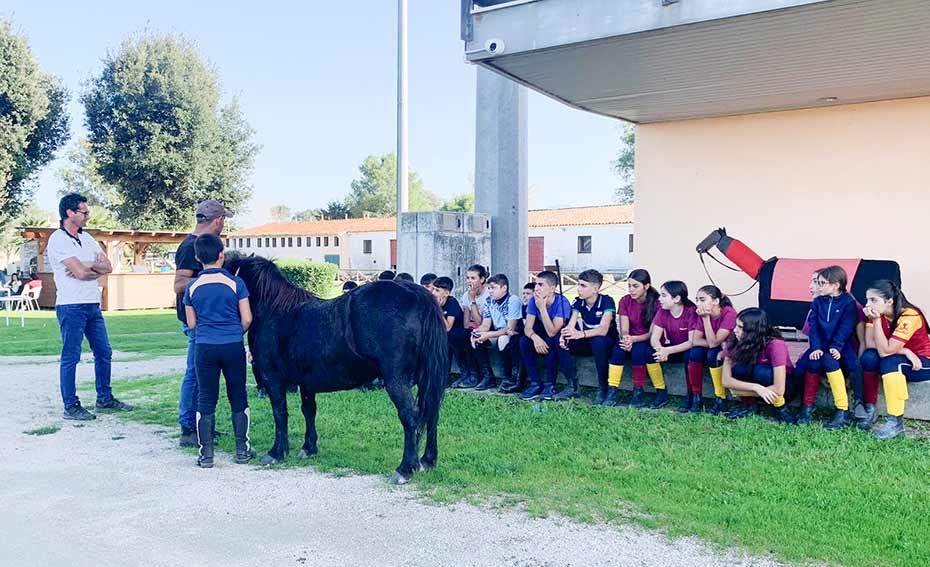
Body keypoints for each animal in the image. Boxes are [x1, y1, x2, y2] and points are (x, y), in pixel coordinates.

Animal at [221, 256, 446, 484]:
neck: (274, 311)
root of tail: (416, 293)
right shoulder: (306, 382)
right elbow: (308, 410)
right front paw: (308, 448)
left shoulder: (273, 379)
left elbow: (279, 413)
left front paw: (276, 452)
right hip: (426, 378)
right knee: (431, 411)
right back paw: (427, 460)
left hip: (396, 381)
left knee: (410, 417)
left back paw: (405, 468)